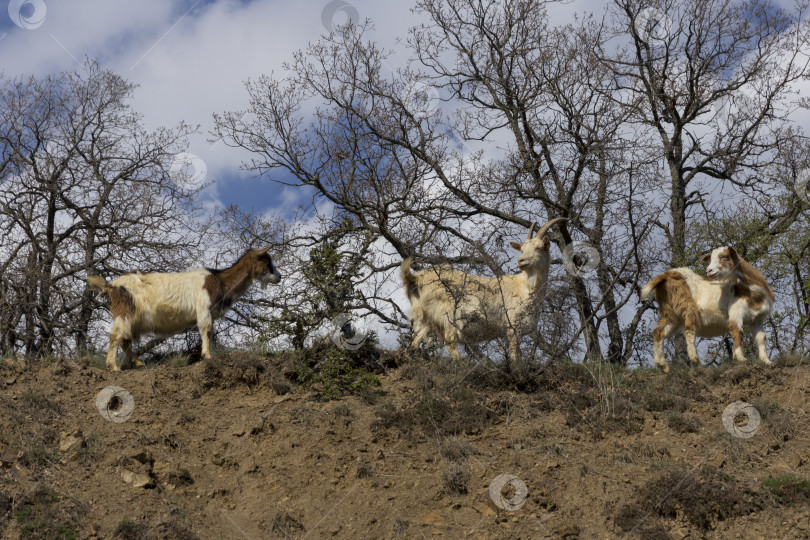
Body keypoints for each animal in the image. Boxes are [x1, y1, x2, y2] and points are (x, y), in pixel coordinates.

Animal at [87, 248, 280, 372]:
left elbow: (211, 333)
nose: (279, 276)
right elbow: (206, 331)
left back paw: (138, 363)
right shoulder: (203, 310)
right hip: (125, 312)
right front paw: (208, 356)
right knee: (115, 336)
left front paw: (211, 354)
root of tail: (111, 286)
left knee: (125, 341)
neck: (219, 281)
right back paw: (113, 366)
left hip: (132, 319)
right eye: (267, 261)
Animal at [400, 217, 564, 360]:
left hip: (425, 317)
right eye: (522, 249)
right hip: (448, 313)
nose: (521, 260)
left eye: (539, 248)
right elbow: (514, 355)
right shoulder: (512, 326)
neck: (526, 286)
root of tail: (417, 278)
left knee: (415, 341)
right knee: (450, 339)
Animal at [640, 248, 772, 372]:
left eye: (724, 256)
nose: (709, 270)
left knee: (659, 332)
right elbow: (737, 331)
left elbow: (761, 337)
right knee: (688, 331)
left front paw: (766, 361)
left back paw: (663, 366)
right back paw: (696, 362)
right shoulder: (736, 312)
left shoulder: (757, 319)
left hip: (670, 314)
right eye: (710, 259)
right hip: (688, 307)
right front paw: (741, 358)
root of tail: (668, 274)